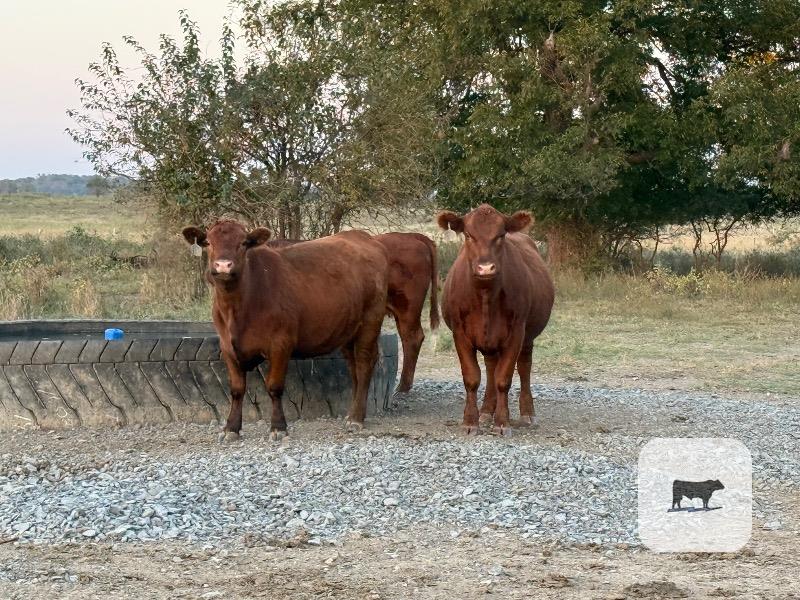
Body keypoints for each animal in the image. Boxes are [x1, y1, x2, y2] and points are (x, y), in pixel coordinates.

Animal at [181, 220, 389, 441]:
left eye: (243, 243)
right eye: (208, 242)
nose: (223, 265)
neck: (238, 307)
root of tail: (365, 238)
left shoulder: (280, 344)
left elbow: (274, 386)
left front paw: (278, 426)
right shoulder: (227, 347)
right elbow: (237, 389)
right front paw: (231, 428)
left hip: (370, 321)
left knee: (364, 364)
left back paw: (356, 418)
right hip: (348, 329)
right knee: (353, 367)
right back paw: (353, 413)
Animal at [437, 204, 555, 435]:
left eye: (501, 235)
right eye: (468, 235)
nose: (485, 268)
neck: (485, 297)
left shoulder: (516, 332)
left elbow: (504, 378)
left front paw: (502, 422)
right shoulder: (460, 333)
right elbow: (472, 378)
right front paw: (470, 421)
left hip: (527, 337)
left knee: (524, 367)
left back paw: (527, 413)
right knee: (491, 367)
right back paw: (485, 411)